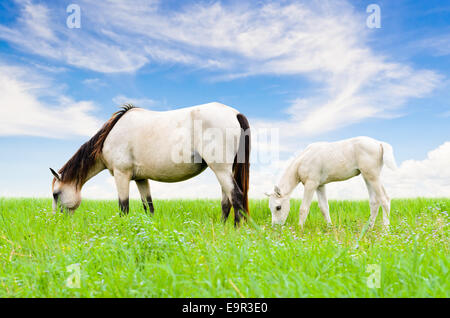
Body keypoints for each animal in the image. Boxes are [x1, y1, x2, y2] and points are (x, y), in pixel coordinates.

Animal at [51, 102, 253, 226]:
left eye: (55, 194)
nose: (57, 222)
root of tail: (235, 113)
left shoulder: (121, 175)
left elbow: (123, 207)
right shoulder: (141, 179)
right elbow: (148, 207)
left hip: (220, 169)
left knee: (236, 196)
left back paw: (236, 230)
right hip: (224, 170)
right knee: (226, 202)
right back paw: (222, 228)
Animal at [268, 137, 398, 229]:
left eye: (278, 207)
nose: (275, 227)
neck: (303, 160)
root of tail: (378, 143)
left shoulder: (311, 184)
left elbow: (303, 208)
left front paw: (300, 229)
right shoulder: (320, 185)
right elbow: (324, 208)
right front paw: (330, 228)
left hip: (373, 176)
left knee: (384, 199)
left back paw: (385, 230)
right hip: (368, 177)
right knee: (375, 202)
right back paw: (369, 228)